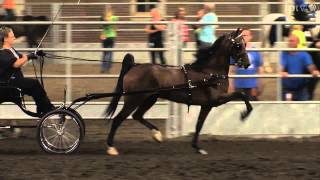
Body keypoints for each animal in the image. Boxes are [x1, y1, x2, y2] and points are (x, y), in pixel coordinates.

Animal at [105, 28, 252, 155]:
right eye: (238, 45)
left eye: (244, 43)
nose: (247, 63)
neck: (209, 73)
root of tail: (134, 67)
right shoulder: (217, 100)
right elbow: (241, 94)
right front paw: (244, 114)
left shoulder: (206, 105)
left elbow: (199, 125)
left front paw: (197, 148)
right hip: (134, 99)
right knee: (118, 119)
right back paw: (111, 148)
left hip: (150, 98)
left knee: (137, 116)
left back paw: (157, 135)